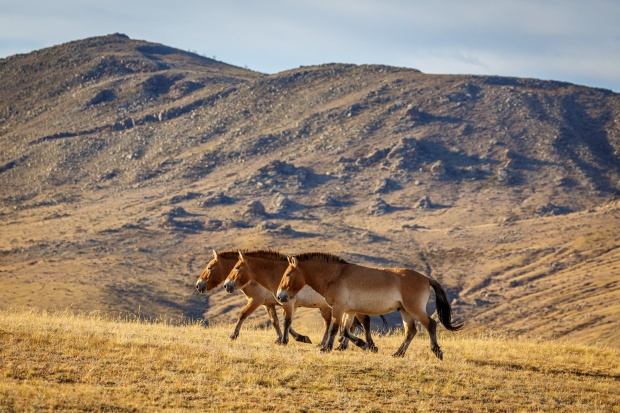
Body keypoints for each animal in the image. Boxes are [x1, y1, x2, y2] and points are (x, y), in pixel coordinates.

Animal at [220, 249, 380, 350]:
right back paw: (337, 344)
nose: (227, 285)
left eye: (237, 267)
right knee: (340, 324)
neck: (279, 273)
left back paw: (360, 345)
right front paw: (298, 338)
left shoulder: (287, 302)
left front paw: (285, 341)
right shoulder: (289, 303)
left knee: (363, 322)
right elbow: (286, 322)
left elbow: (286, 322)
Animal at [274, 251, 460, 358]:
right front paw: (364, 345)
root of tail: (426, 278)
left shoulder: (339, 308)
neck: (335, 276)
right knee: (411, 331)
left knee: (431, 324)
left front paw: (326, 349)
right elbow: (345, 330)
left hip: (414, 308)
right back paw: (398, 354)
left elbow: (335, 329)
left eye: (288, 274)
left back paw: (437, 352)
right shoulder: (349, 310)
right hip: (405, 311)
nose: (279, 296)